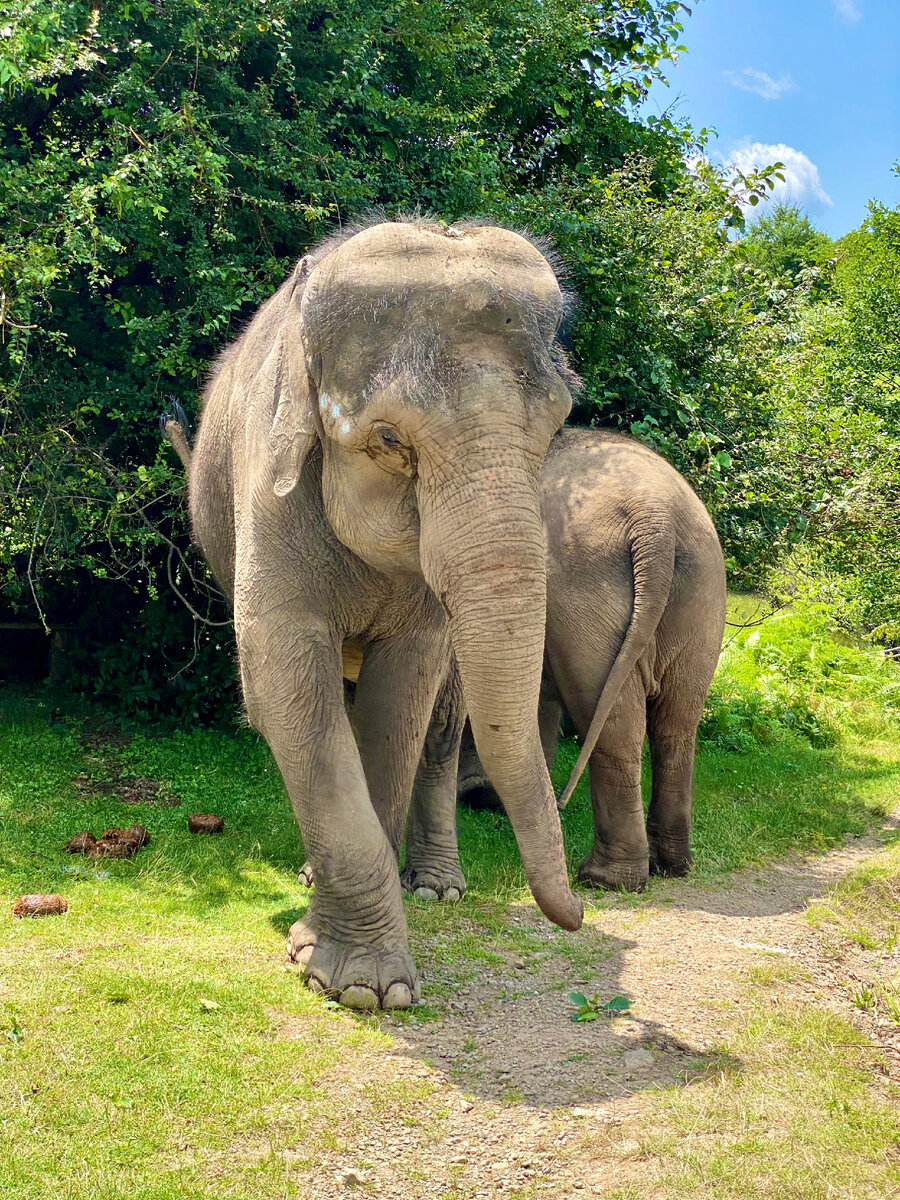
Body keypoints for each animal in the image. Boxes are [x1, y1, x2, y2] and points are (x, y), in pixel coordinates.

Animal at [187, 220, 588, 1008]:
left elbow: (401, 697)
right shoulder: (267, 484)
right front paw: (361, 986)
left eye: (558, 424)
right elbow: (287, 688)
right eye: (389, 440)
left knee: (442, 728)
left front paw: (357, 976)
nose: (580, 914)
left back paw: (435, 888)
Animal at [405, 427, 729, 897]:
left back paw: (603, 878)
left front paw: (482, 797)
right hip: (701, 593)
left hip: (590, 593)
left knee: (610, 721)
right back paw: (670, 865)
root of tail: (657, 520)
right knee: (678, 721)